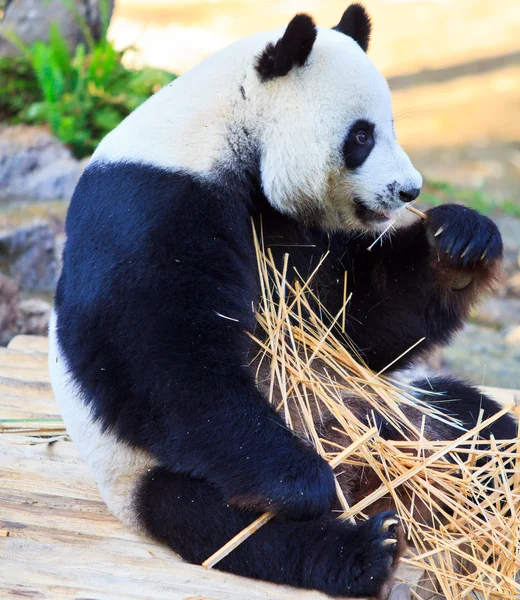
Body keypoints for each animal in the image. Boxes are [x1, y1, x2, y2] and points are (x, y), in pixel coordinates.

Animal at [47, 5, 516, 600]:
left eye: (390, 126)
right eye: (361, 135)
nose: (409, 191)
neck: (223, 131)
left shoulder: (297, 232)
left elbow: (357, 327)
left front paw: (460, 242)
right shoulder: (151, 202)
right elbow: (155, 356)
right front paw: (304, 480)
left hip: (395, 409)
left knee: (481, 428)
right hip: (151, 473)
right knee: (229, 524)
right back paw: (365, 548)